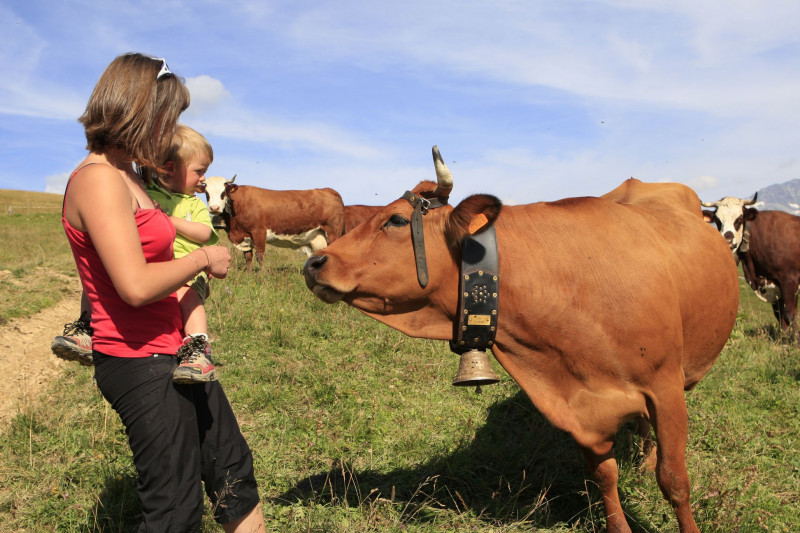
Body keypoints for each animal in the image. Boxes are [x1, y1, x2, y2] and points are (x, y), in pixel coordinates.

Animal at [204, 175, 345, 271]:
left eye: (223, 192)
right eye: (206, 193)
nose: (214, 208)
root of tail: (329, 190)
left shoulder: (259, 231)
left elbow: (260, 255)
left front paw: (263, 275)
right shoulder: (244, 236)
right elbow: (248, 257)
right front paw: (249, 273)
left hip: (333, 233)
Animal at [303, 146, 739, 533]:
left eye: (395, 220)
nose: (314, 263)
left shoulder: (665, 388)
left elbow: (674, 481)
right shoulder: (584, 409)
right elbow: (604, 478)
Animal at [702, 194, 800, 340]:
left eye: (739, 219)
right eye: (718, 220)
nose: (728, 240)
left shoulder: (789, 281)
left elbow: (790, 315)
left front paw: (796, 341)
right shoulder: (774, 287)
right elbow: (780, 317)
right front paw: (786, 340)